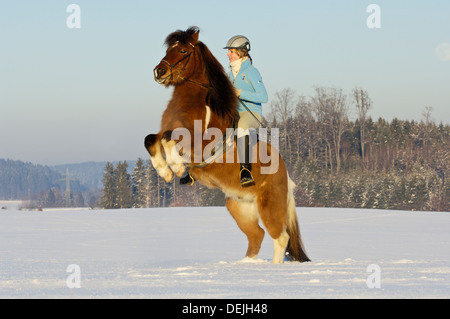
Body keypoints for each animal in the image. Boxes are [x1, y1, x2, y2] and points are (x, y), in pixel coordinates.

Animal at [144, 26, 310, 264]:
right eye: (168, 49)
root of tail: (285, 174)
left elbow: (168, 137)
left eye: (183, 50)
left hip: (269, 205)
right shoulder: (165, 133)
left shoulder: (198, 144)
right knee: (257, 235)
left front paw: (174, 168)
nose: (159, 72)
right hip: (238, 206)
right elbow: (151, 138)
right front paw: (165, 172)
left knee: (280, 237)